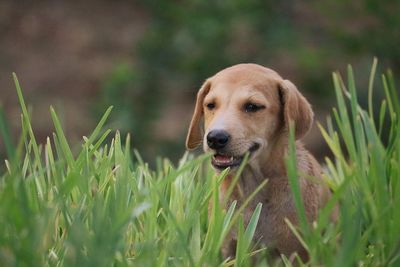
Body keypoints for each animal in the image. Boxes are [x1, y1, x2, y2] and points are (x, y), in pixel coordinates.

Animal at [186, 63, 336, 262]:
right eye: (210, 105)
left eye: (252, 107)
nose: (215, 138)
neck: (252, 189)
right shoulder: (226, 249)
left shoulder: (296, 253)